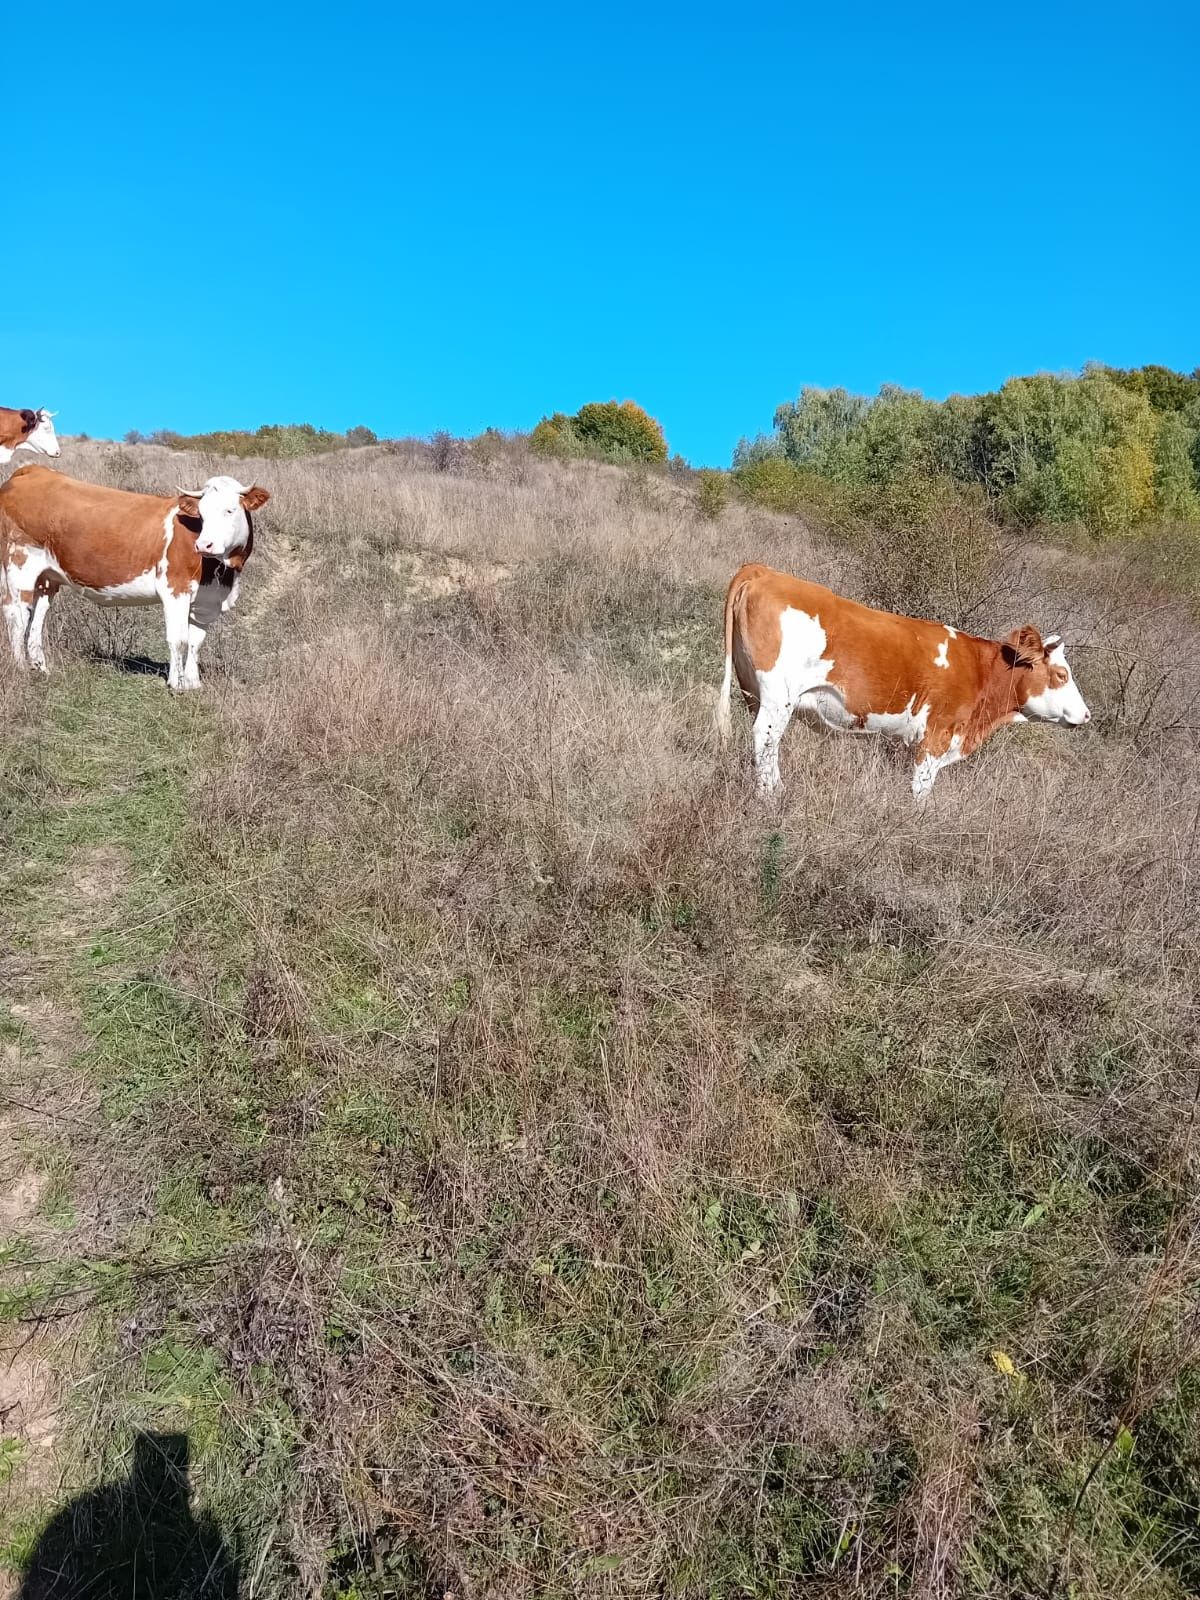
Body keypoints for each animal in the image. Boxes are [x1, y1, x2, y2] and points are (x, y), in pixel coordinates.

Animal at [1, 464, 270, 688]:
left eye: (230, 510)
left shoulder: (208, 600)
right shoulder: (175, 590)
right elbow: (179, 639)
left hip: (47, 577)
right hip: (20, 563)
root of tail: (34, 470)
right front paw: (177, 684)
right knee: (17, 615)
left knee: (38, 615)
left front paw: (193, 684)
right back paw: (21, 668)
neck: (221, 572)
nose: (204, 545)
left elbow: (196, 641)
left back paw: (41, 668)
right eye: (201, 514)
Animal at [720, 569, 1094, 806]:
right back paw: (770, 798)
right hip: (778, 696)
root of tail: (765, 571)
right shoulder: (936, 737)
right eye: (1061, 674)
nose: (1088, 715)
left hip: (754, 692)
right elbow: (921, 791)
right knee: (766, 739)